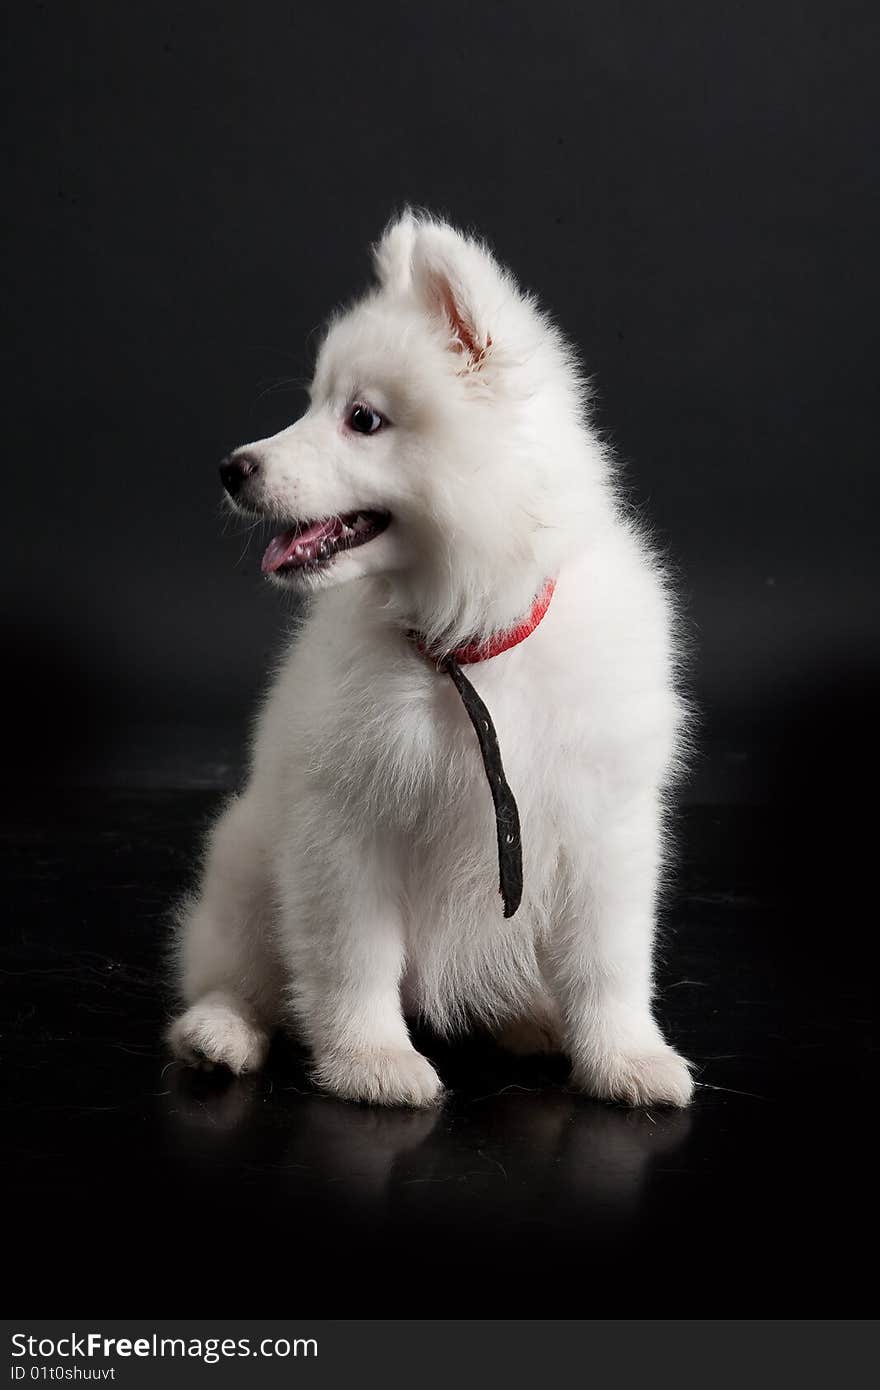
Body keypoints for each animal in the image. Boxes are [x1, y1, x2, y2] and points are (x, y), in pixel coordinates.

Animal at [168, 214, 692, 1106]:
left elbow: (610, 964)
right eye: (314, 404)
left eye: (363, 419)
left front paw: (626, 1057)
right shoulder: (345, 825)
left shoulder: (604, 828)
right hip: (246, 863)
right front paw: (370, 1061)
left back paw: (534, 1020)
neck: (465, 648)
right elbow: (352, 960)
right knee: (241, 977)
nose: (232, 468)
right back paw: (219, 1033)